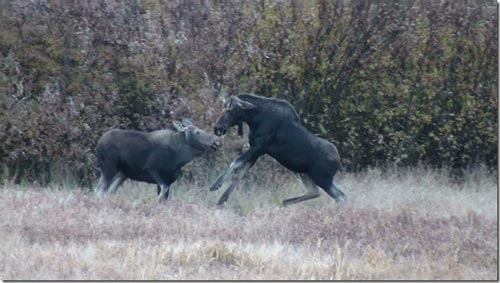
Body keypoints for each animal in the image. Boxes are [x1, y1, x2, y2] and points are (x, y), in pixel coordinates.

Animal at [209, 94, 346, 207]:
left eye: (230, 110)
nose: (217, 128)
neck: (254, 119)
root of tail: (339, 162)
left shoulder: (259, 148)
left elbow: (235, 162)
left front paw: (216, 185)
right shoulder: (256, 151)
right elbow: (239, 175)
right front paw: (222, 200)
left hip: (322, 179)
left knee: (340, 196)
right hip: (305, 173)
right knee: (316, 191)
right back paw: (285, 202)